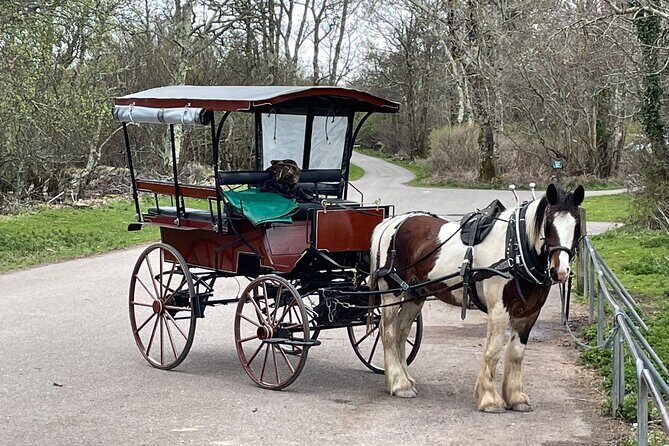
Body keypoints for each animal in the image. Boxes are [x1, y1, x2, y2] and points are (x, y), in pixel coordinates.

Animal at [369, 184, 584, 412]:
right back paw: (398, 384)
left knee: (401, 333)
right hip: (391, 294)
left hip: (415, 295)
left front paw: (516, 397)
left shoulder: (529, 314)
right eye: (549, 224)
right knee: (389, 333)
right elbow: (493, 350)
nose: (560, 271)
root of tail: (393, 222)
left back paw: (405, 380)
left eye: (577, 224)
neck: (515, 249)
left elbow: (517, 353)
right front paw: (489, 398)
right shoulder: (498, 310)